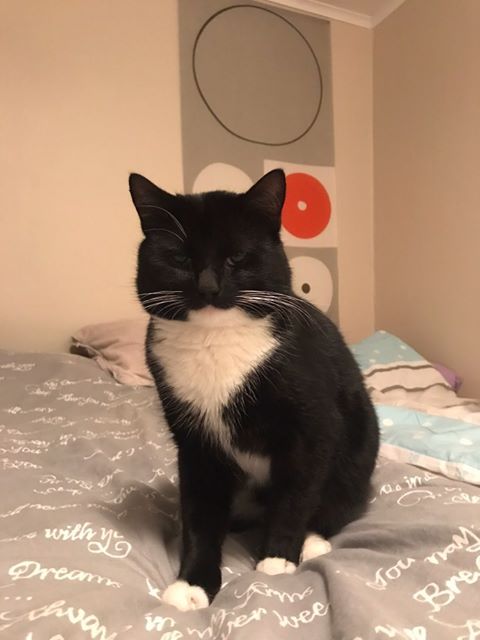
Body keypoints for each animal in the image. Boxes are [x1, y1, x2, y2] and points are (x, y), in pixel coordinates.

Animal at [129, 169, 379, 612]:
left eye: (236, 257)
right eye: (180, 259)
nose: (208, 286)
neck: (214, 341)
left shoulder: (312, 427)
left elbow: (295, 495)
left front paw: (277, 559)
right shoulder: (195, 444)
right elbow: (200, 513)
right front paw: (192, 583)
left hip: (360, 442)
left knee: (341, 499)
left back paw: (313, 541)